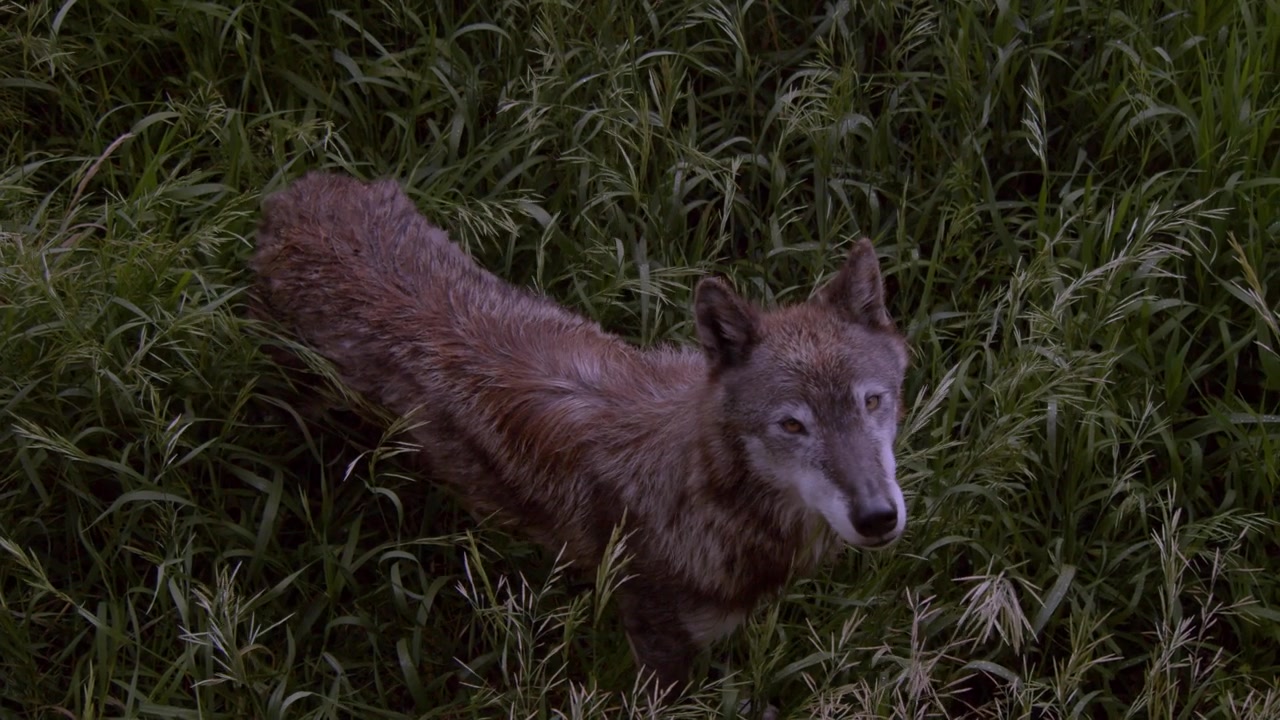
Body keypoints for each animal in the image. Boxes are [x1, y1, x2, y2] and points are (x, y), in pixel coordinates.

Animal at [251, 171, 910, 698]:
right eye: (793, 425)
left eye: (872, 402)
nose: (878, 517)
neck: (704, 495)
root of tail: (297, 193)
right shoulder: (657, 649)